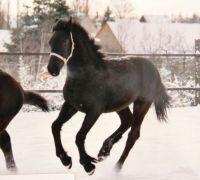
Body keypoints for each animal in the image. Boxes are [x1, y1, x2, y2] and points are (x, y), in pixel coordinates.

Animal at [47, 19, 170, 175]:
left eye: (64, 41)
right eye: (50, 42)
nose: (52, 69)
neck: (86, 76)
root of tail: (154, 70)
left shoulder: (94, 111)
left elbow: (79, 136)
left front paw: (88, 165)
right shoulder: (71, 105)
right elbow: (55, 126)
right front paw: (66, 160)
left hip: (142, 104)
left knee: (133, 135)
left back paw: (116, 167)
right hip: (121, 104)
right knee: (126, 121)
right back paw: (104, 151)